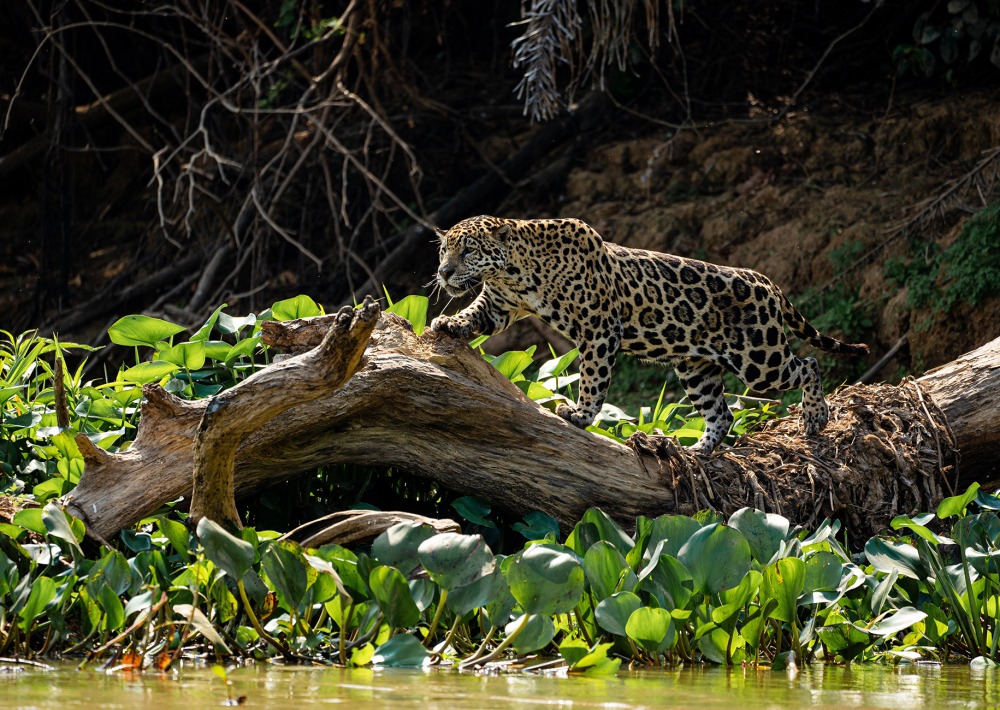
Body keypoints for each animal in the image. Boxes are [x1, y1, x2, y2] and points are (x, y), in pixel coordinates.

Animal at [429, 215, 869, 453]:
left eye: (468, 251)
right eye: (443, 251)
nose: (444, 273)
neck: (515, 271)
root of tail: (766, 281)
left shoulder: (599, 328)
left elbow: (592, 378)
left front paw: (580, 415)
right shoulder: (498, 305)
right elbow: (473, 313)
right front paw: (448, 324)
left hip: (759, 359)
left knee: (808, 364)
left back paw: (815, 416)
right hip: (696, 368)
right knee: (722, 412)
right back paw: (697, 451)